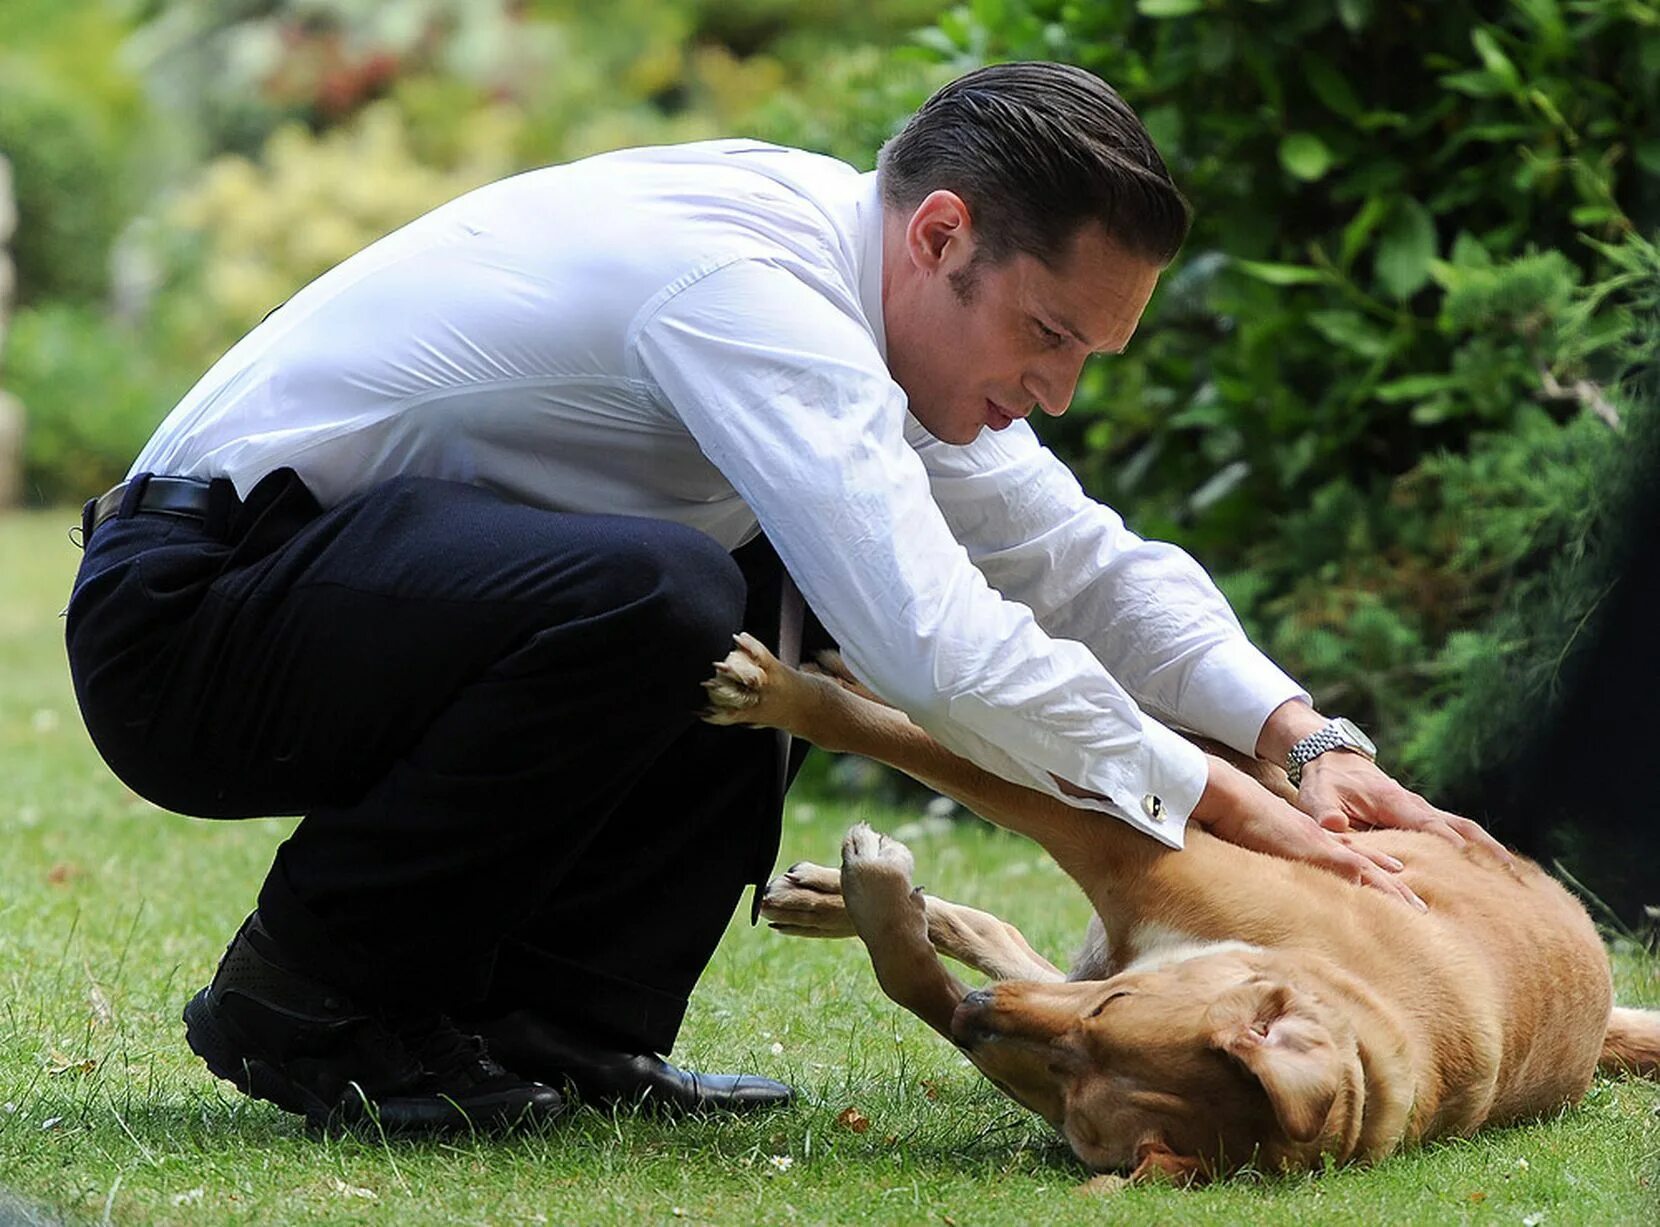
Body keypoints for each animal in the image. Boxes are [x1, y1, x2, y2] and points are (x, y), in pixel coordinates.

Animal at [703, 634, 1660, 1182]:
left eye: (1075, 1098)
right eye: (1118, 1005)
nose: (983, 1017)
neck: (1359, 1020)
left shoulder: (1121, 866)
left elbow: (922, 968)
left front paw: (787, 699)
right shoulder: (1141, 862)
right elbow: (963, 762)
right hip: (1254, 790)